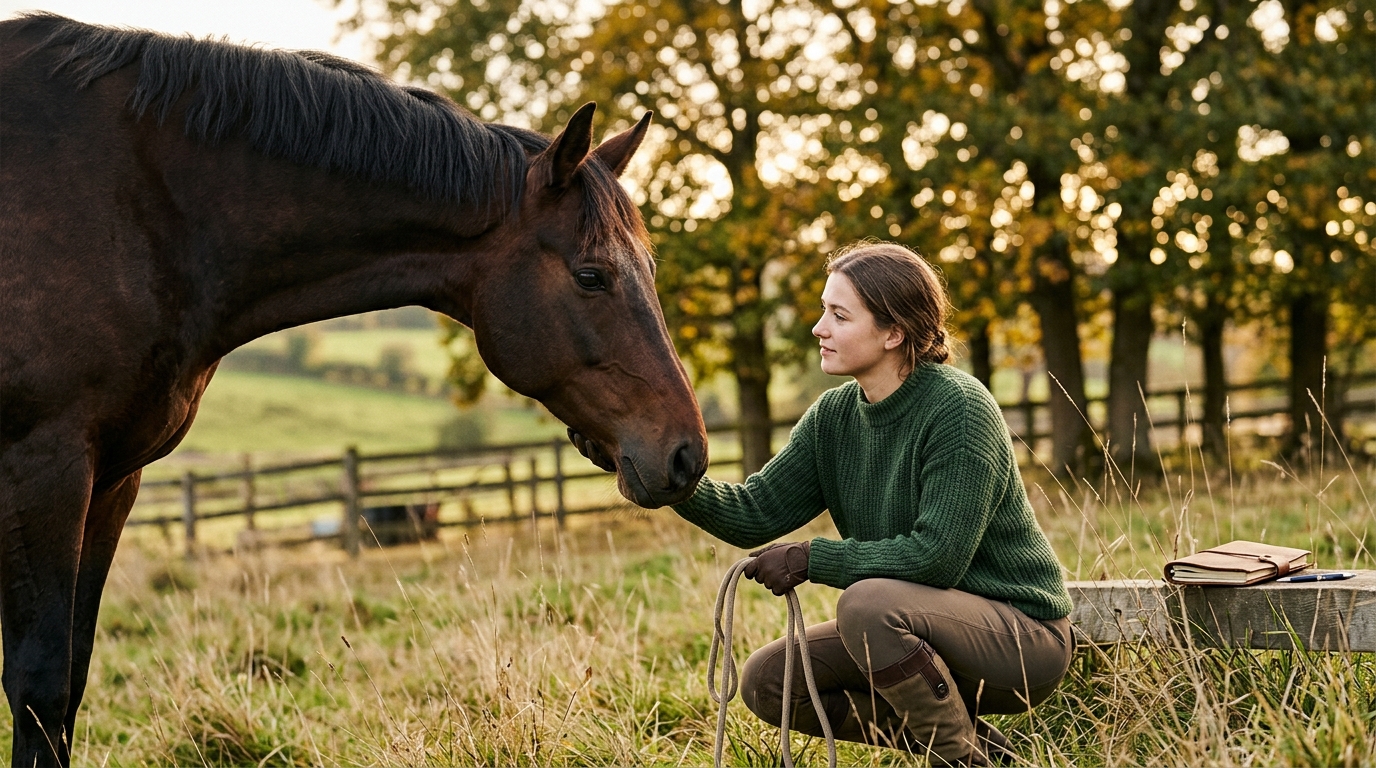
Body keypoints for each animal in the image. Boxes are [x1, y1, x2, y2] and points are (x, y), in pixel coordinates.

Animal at [0, 13, 707, 765]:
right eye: (590, 276)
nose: (686, 454)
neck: (137, 208)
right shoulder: (43, 467)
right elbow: (40, 684)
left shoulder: (113, 480)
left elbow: (71, 682)